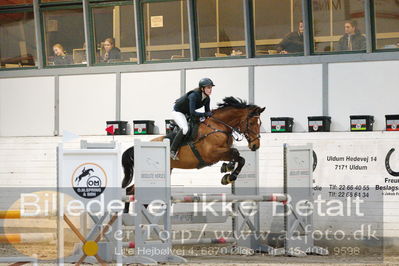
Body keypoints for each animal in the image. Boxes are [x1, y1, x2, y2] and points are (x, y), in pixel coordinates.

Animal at [122, 96, 266, 212]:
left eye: (260, 123)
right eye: (251, 123)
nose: (255, 146)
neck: (218, 126)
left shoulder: (223, 152)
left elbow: (238, 156)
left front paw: (227, 170)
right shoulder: (212, 154)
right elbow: (237, 154)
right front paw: (230, 176)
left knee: (134, 191)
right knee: (130, 190)